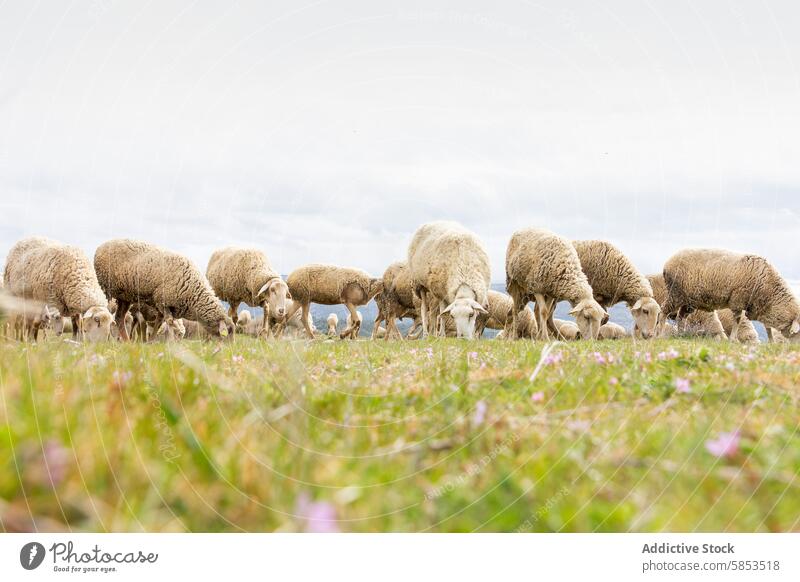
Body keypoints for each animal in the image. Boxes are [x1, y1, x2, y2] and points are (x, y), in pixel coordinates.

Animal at [94, 241, 233, 342]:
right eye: (228, 332)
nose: (229, 351)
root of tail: (101, 247)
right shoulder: (163, 301)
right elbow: (169, 322)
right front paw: (169, 343)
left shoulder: (163, 305)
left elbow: (160, 322)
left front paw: (150, 342)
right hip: (106, 288)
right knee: (105, 311)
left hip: (125, 296)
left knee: (119, 317)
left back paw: (127, 341)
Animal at [664, 250, 800, 342]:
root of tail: (667, 263)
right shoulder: (738, 300)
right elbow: (737, 320)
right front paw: (733, 340)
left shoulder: (762, 308)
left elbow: (768, 327)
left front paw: (771, 342)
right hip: (675, 293)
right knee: (663, 311)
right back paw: (659, 332)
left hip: (688, 301)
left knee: (681, 316)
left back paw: (681, 334)